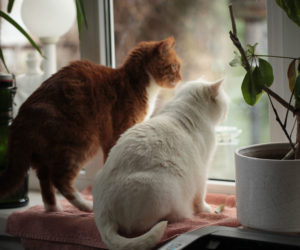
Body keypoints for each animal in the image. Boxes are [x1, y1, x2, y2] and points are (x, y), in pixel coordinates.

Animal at [0, 37, 182, 212]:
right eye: (174, 66)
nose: (180, 78)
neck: (136, 83)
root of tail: (21, 117)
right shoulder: (118, 133)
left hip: (46, 154)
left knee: (45, 178)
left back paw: (54, 209)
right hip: (83, 141)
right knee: (59, 178)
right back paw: (85, 206)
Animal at [92, 79, 229, 250]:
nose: (227, 112)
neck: (188, 107)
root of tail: (103, 212)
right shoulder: (202, 170)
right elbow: (200, 195)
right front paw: (205, 209)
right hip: (161, 187)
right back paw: (183, 215)